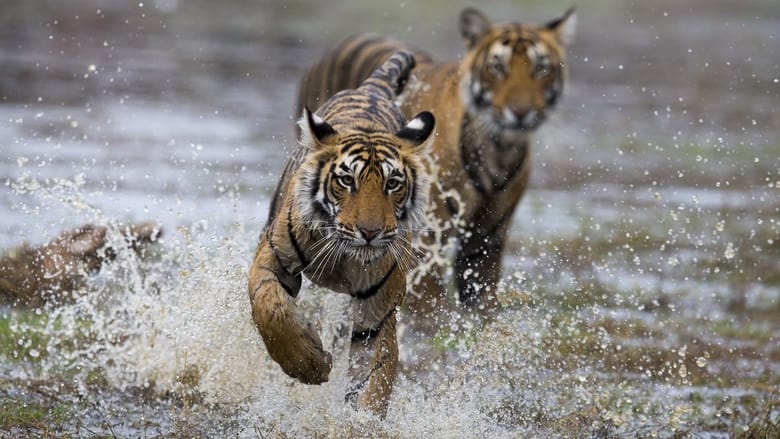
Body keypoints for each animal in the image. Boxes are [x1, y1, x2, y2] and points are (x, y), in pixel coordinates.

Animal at [248, 51, 435, 417]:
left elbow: (380, 368)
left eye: (393, 183)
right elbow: (271, 308)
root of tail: (372, 88)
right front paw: (309, 365)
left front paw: (364, 416)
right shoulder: (273, 258)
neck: (344, 254)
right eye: (347, 180)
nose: (370, 232)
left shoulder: (376, 311)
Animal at [297, 7, 576, 313]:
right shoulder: (428, 237)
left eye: (541, 69)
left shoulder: (487, 240)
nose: (521, 112)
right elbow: (430, 306)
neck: (497, 148)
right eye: (497, 68)